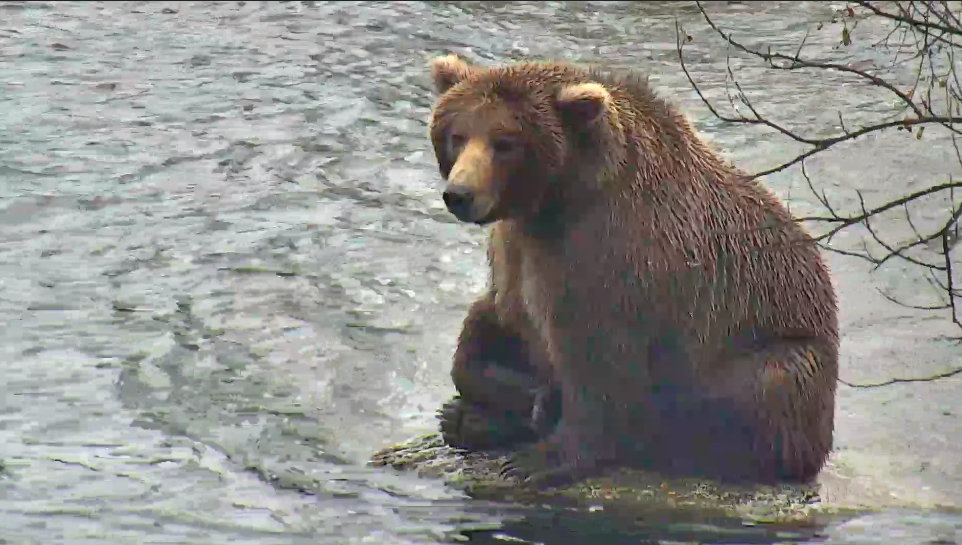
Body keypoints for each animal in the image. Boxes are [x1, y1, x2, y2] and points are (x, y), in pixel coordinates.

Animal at [427, 54, 840, 488]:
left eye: (505, 142)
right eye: (458, 135)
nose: (460, 195)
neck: (555, 198)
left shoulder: (611, 252)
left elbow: (598, 360)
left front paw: (542, 456)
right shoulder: (516, 250)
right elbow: (495, 318)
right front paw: (505, 393)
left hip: (778, 350)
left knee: (747, 396)